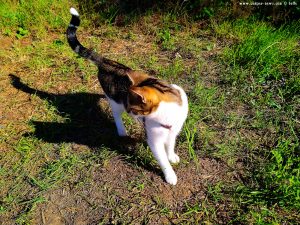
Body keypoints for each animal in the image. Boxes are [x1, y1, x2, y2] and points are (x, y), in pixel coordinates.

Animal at [67, 7, 188, 185]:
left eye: (134, 108)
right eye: (130, 106)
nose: (130, 111)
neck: (168, 116)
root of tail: (107, 62)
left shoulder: (174, 130)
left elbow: (170, 144)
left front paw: (172, 155)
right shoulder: (154, 140)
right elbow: (163, 160)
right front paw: (170, 175)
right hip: (115, 102)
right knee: (116, 115)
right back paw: (122, 130)